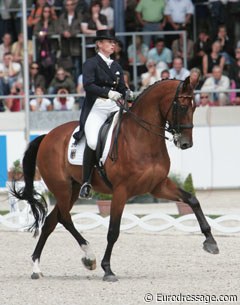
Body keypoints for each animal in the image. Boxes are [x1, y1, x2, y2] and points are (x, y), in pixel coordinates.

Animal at [12, 75, 219, 282]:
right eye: (182, 107)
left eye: (195, 107)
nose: (185, 143)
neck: (142, 137)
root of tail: (47, 136)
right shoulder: (121, 191)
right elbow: (113, 231)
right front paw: (108, 269)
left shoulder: (158, 186)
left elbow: (192, 200)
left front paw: (210, 241)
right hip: (62, 188)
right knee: (64, 218)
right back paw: (89, 257)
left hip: (73, 189)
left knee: (51, 221)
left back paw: (37, 267)